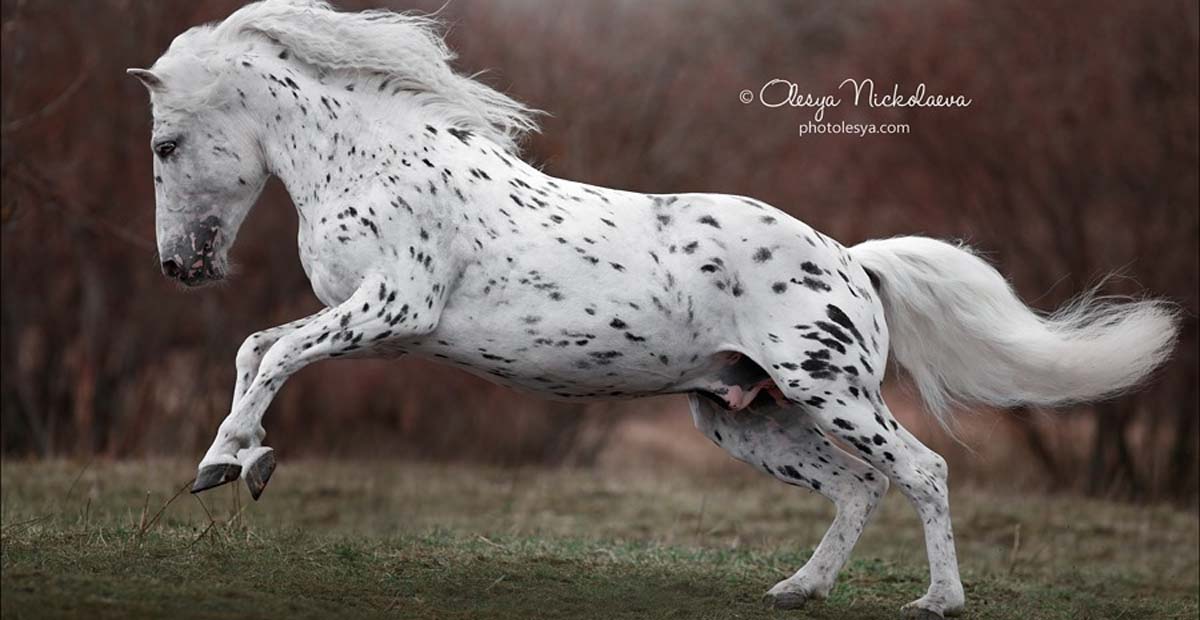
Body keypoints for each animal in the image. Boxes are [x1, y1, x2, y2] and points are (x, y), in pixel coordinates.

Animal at [126, 2, 1176, 614]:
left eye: (166, 145)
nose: (178, 266)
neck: (373, 159)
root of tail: (852, 261)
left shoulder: (394, 309)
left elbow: (268, 352)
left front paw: (232, 463)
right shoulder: (370, 326)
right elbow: (258, 351)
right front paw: (239, 462)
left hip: (831, 391)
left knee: (920, 471)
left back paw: (939, 603)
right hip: (741, 416)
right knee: (856, 488)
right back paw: (795, 589)